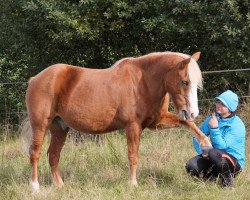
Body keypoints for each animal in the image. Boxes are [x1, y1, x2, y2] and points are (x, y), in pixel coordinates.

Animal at [23, 51, 211, 191]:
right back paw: (35, 186)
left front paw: (205, 143)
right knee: (35, 153)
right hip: (40, 125)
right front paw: (133, 184)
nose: (193, 112)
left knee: (53, 155)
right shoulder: (133, 127)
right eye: (184, 81)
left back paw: (60, 186)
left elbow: (186, 123)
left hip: (60, 128)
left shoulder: (156, 122)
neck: (143, 82)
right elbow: (133, 155)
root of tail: (35, 79)